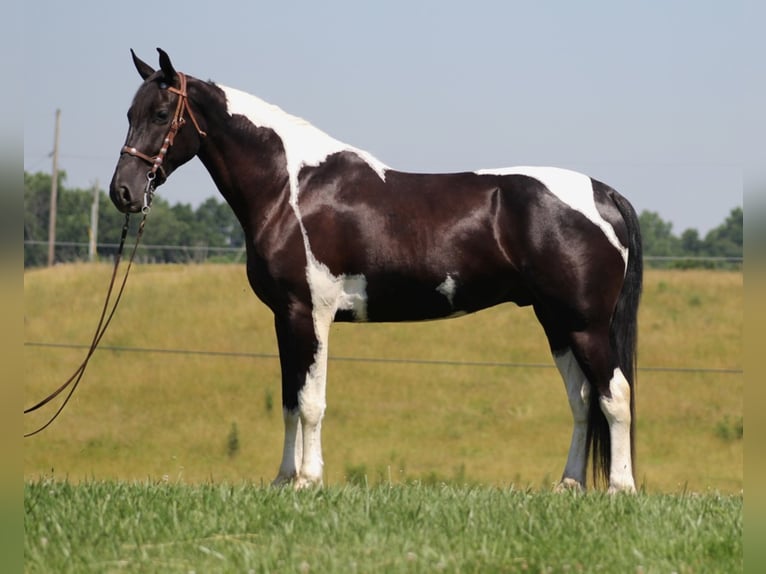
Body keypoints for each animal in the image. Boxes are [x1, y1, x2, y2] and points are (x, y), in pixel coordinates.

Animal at [111, 49, 644, 496]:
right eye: (130, 114)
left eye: (161, 115)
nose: (123, 191)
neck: (290, 188)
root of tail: (603, 194)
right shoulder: (285, 317)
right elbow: (289, 400)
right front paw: (284, 479)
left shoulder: (311, 313)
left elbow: (311, 401)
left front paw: (308, 481)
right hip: (556, 322)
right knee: (582, 400)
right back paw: (568, 485)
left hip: (586, 325)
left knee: (614, 395)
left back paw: (621, 488)